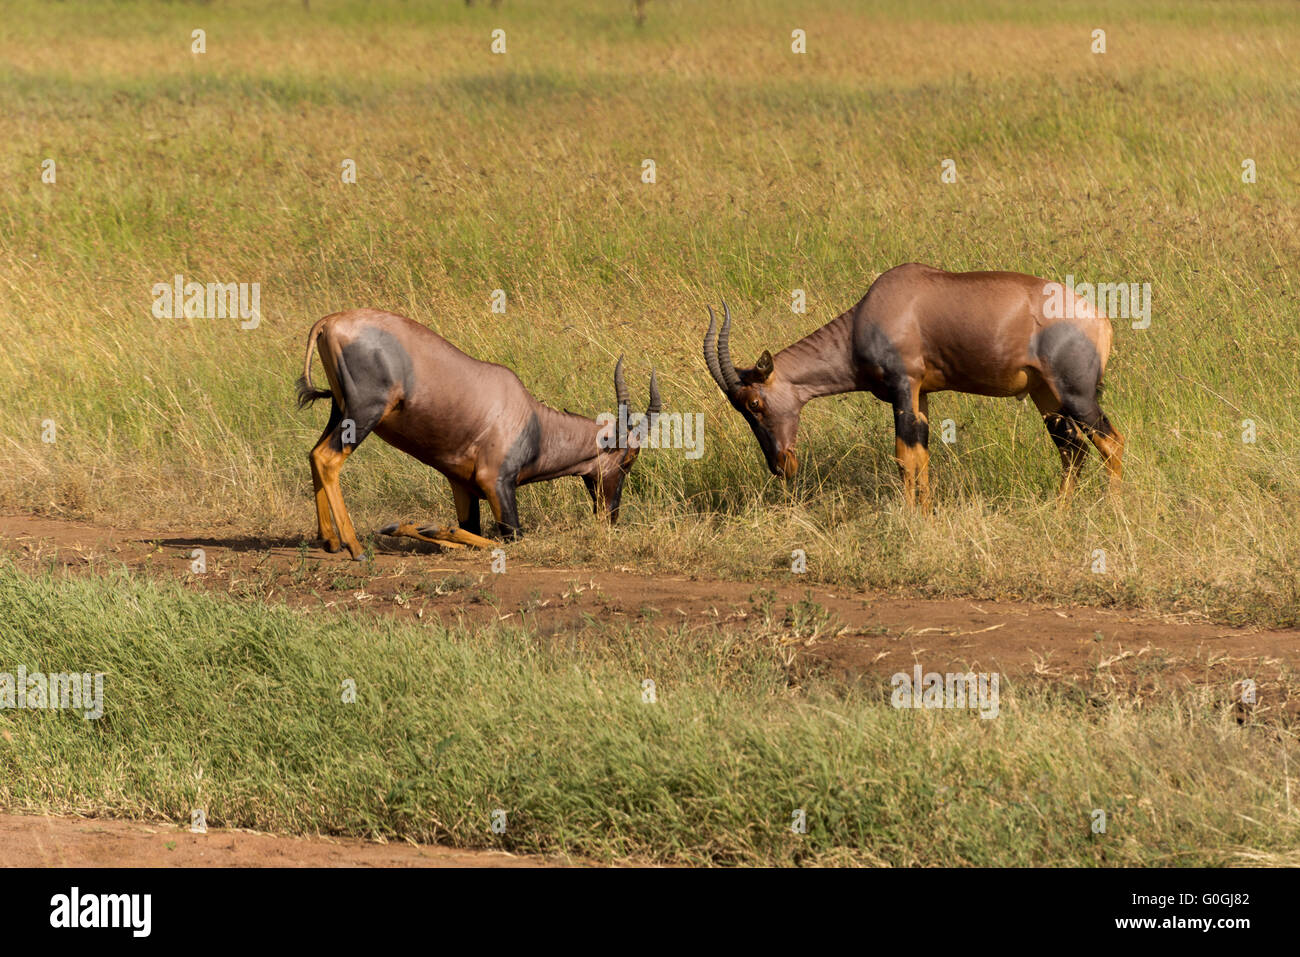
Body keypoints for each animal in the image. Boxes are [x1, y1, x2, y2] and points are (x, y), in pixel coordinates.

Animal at [297, 310, 660, 556]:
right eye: (628, 459)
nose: (610, 517)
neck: (531, 420)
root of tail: (330, 321)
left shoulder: (462, 486)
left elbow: (466, 530)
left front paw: (407, 526)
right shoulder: (496, 484)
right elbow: (508, 538)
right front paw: (421, 526)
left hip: (340, 411)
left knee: (315, 453)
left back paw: (330, 540)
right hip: (364, 413)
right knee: (328, 458)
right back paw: (354, 547)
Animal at [707, 261, 1123, 509]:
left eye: (754, 403)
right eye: (740, 408)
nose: (781, 465)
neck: (871, 312)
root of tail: (1099, 319)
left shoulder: (902, 385)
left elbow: (903, 455)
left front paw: (910, 517)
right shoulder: (921, 394)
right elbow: (921, 454)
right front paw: (925, 512)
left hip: (1077, 395)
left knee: (1110, 442)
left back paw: (1111, 508)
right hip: (1045, 396)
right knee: (1073, 449)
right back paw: (1059, 509)